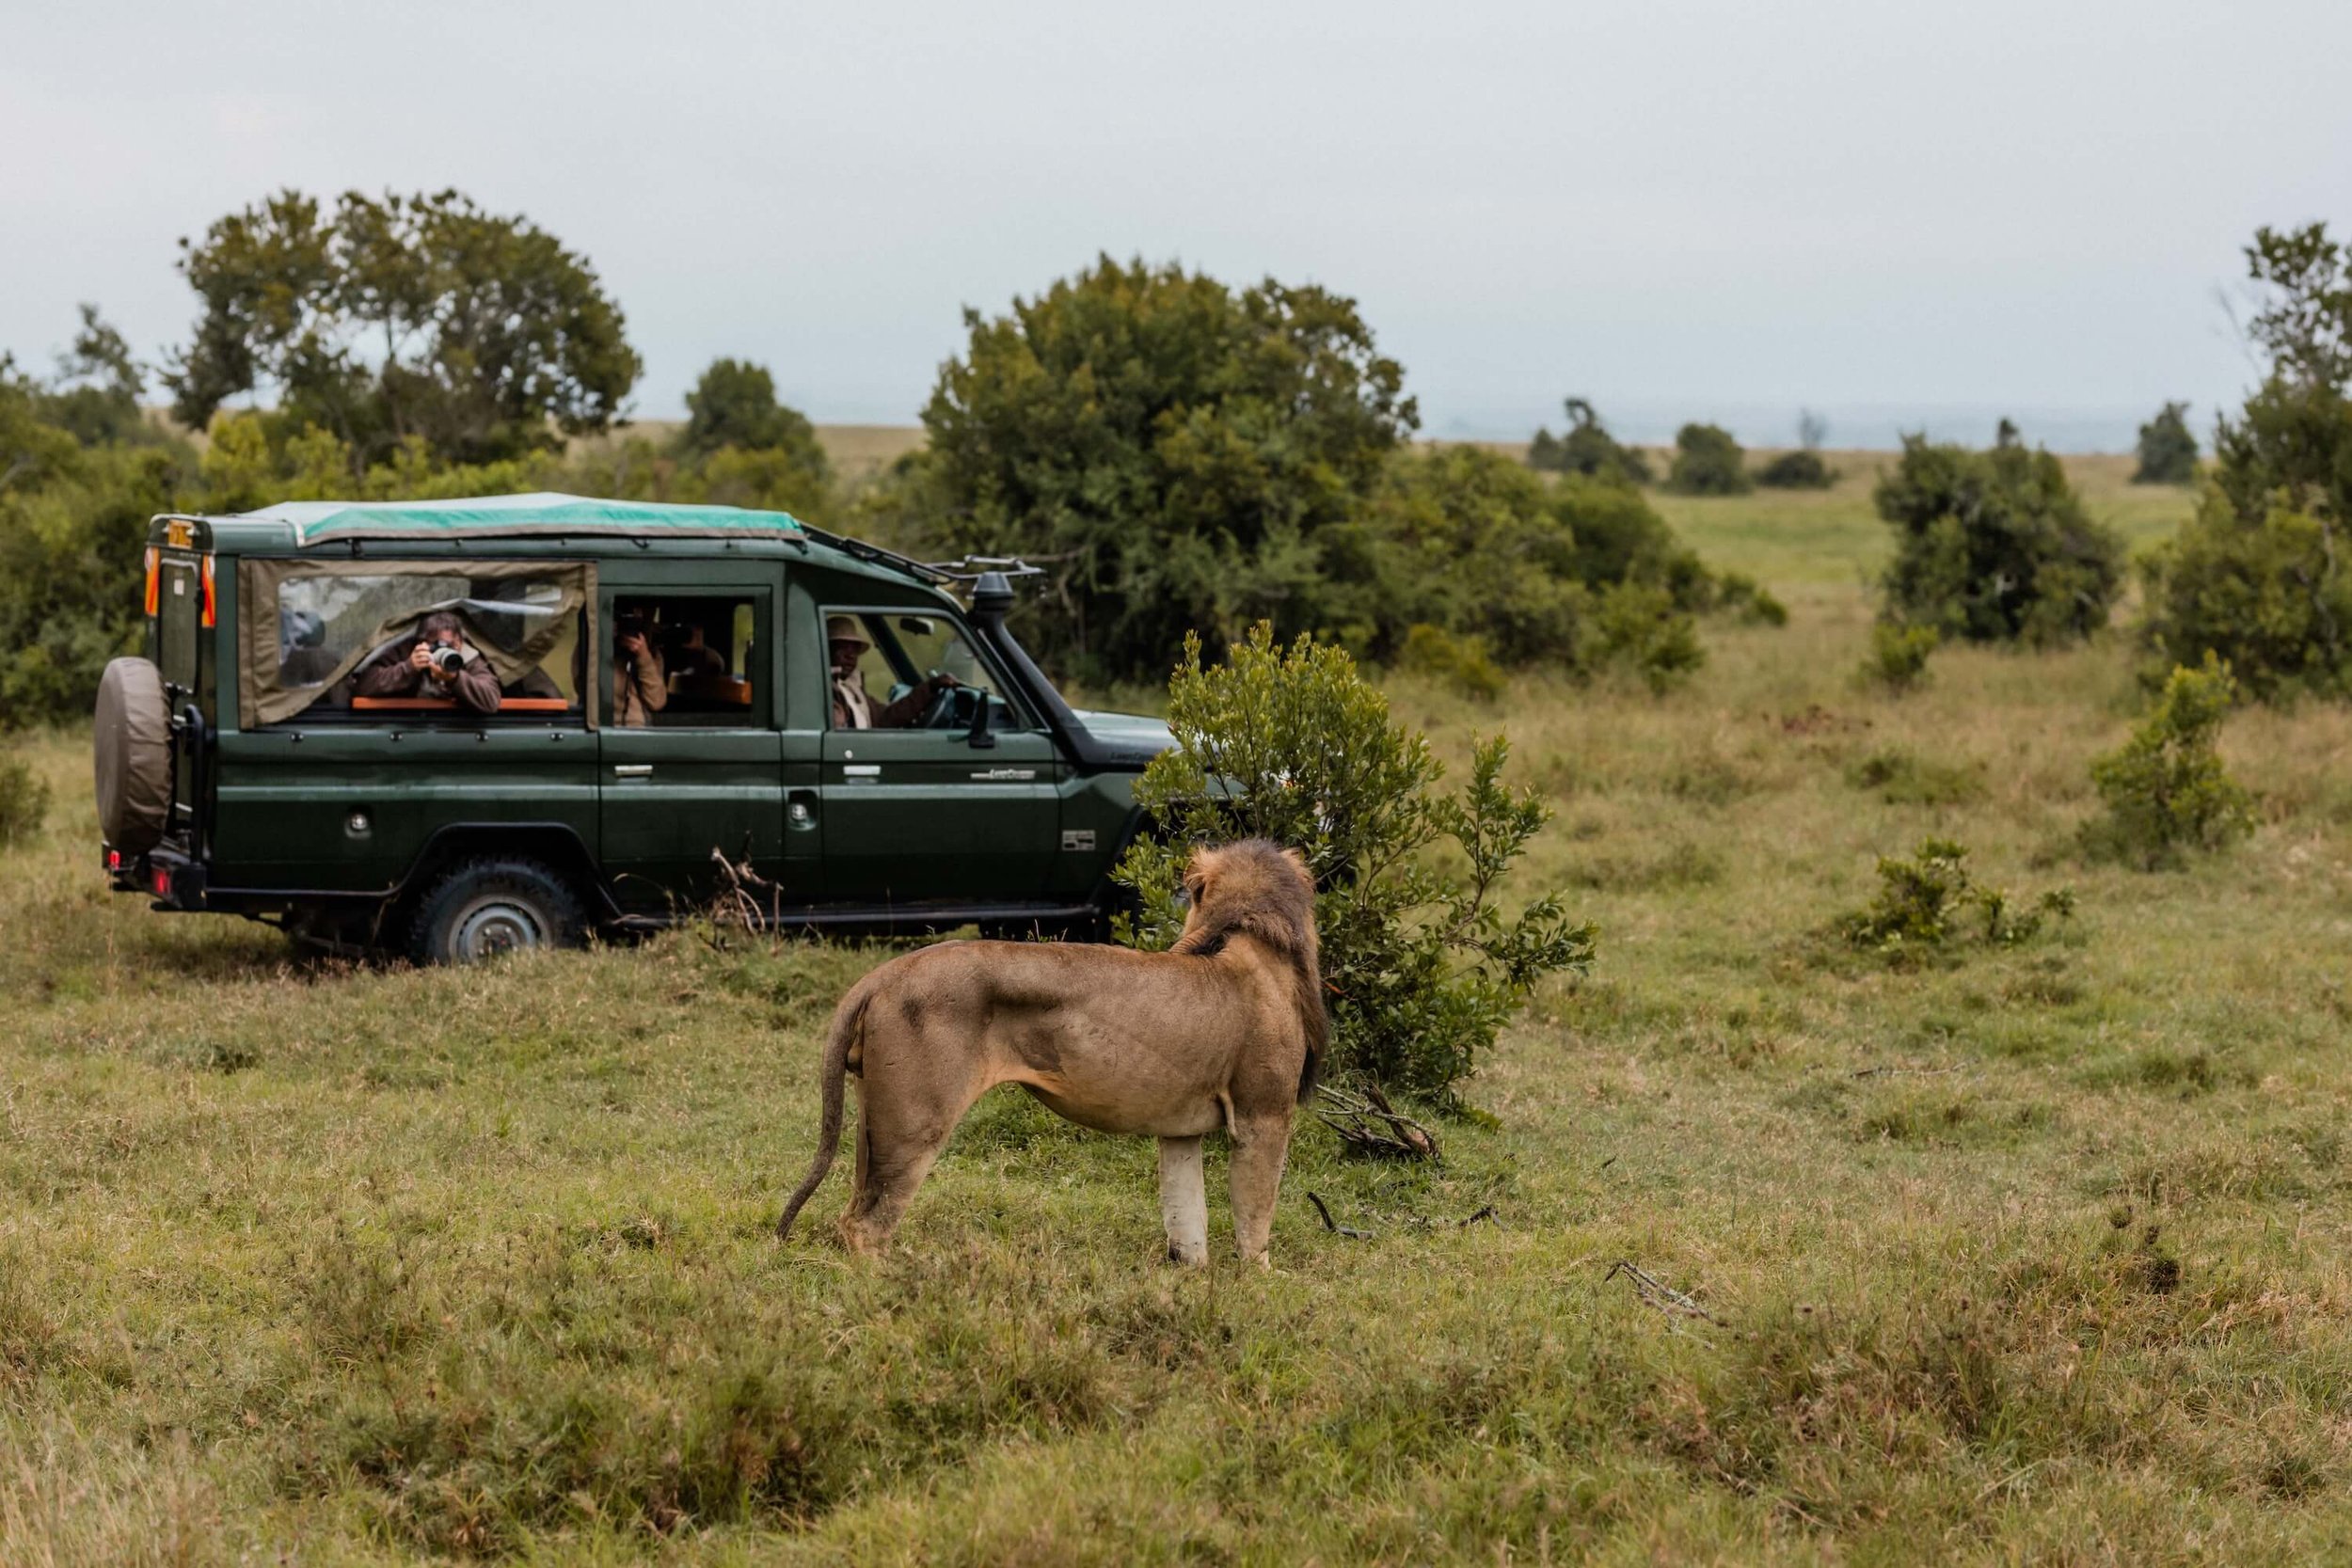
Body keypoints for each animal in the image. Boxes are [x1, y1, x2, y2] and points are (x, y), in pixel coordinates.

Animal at [775, 838, 1325, 1266]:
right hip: (913, 1122)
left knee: (853, 1211)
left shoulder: (1179, 1128)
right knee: (866, 1225)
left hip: (874, 1117)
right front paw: (1258, 1284)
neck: (1245, 932)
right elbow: (1256, 1216)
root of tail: (883, 974)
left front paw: (1194, 1278)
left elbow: (1186, 1216)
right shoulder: (1262, 1115)